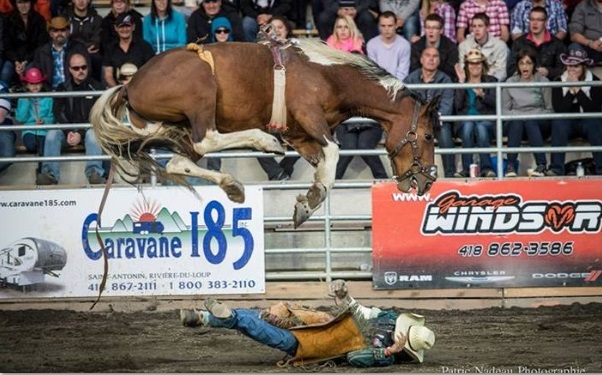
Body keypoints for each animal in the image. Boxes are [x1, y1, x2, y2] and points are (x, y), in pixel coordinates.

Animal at [89, 38, 438, 228]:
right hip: (201, 93)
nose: (426, 182)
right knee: (208, 138)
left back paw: (233, 187)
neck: (330, 74)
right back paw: (265, 142)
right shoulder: (310, 116)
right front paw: (310, 199)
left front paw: (306, 204)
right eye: (429, 136)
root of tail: (129, 85)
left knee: (180, 162)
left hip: (181, 128)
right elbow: (334, 153)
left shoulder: (301, 135)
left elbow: (322, 163)